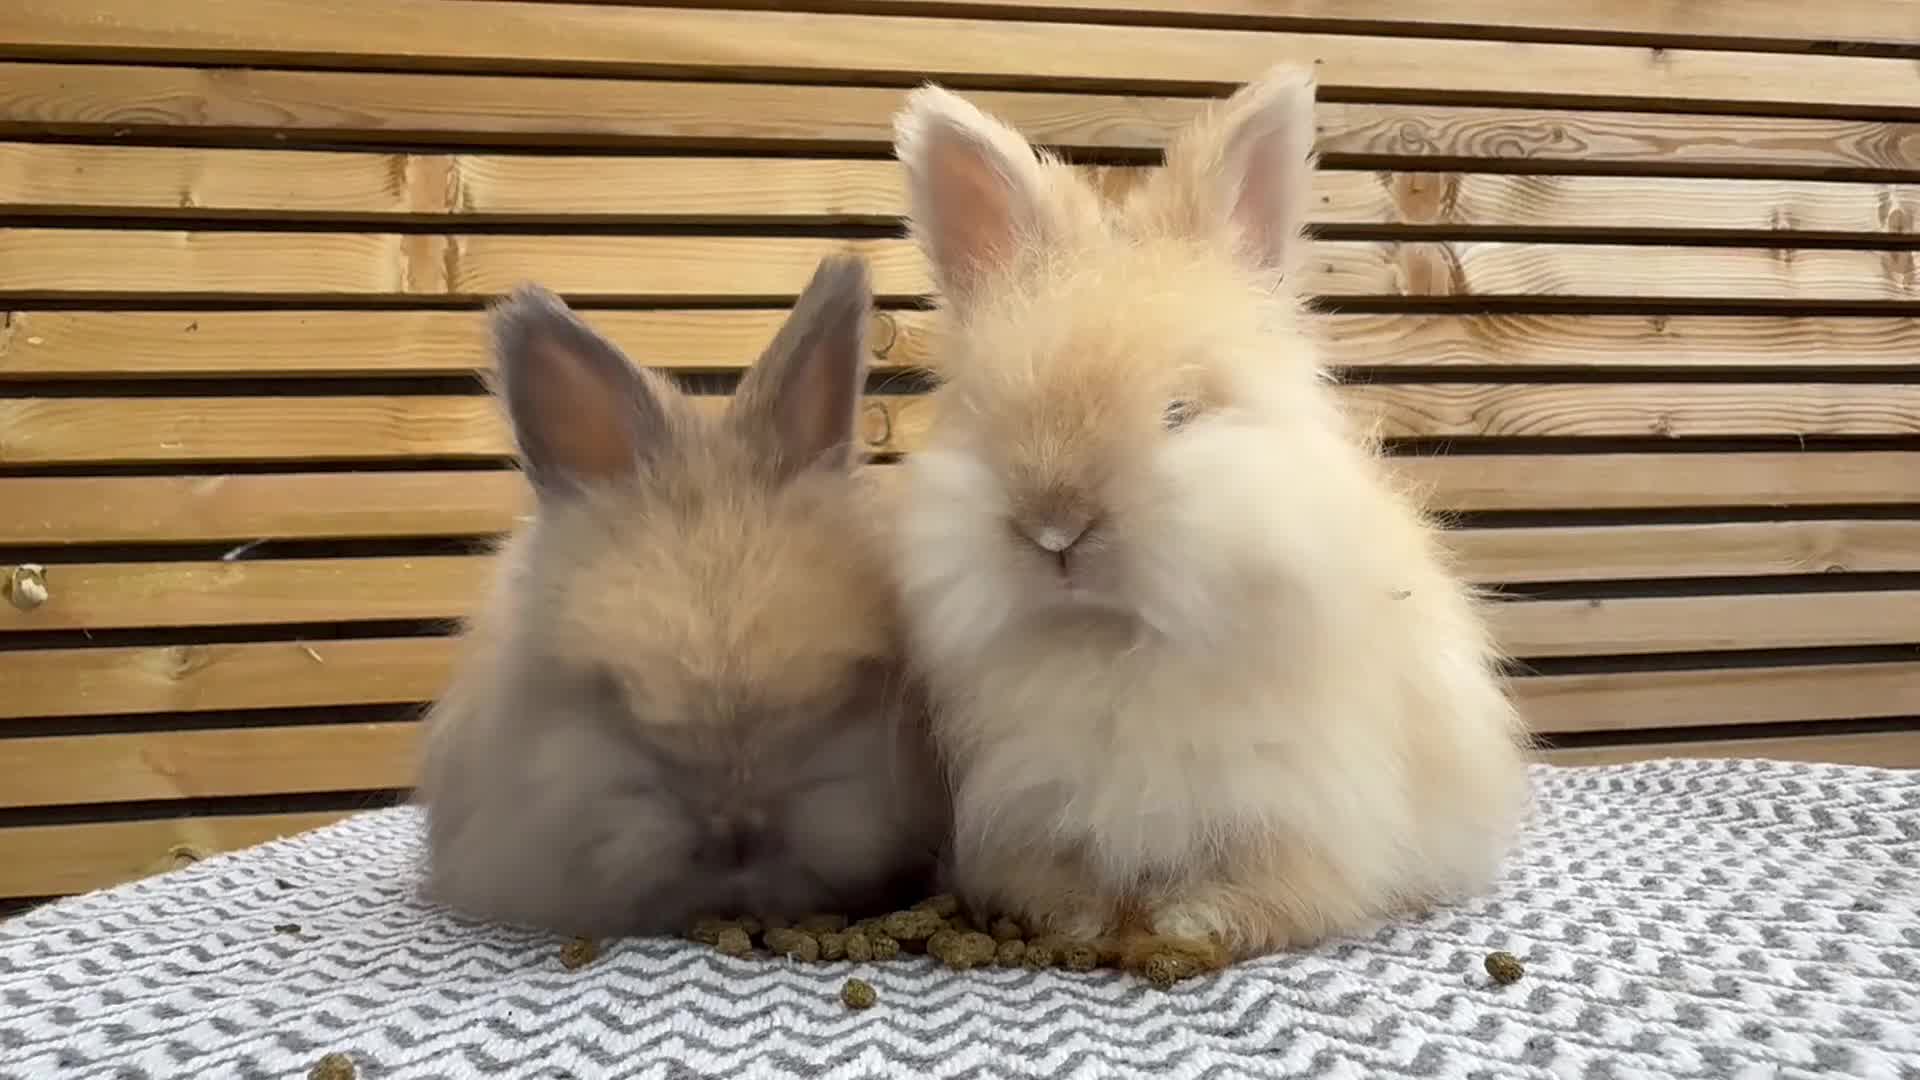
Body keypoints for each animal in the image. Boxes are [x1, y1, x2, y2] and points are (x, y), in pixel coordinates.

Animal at [887, 66, 1531, 962]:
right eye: (989, 415)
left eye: (1179, 413)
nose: (1056, 529)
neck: (1115, 642)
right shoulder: (1026, 800)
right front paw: (1080, 918)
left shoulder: (1301, 799)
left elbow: (1279, 883)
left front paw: (1196, 919)